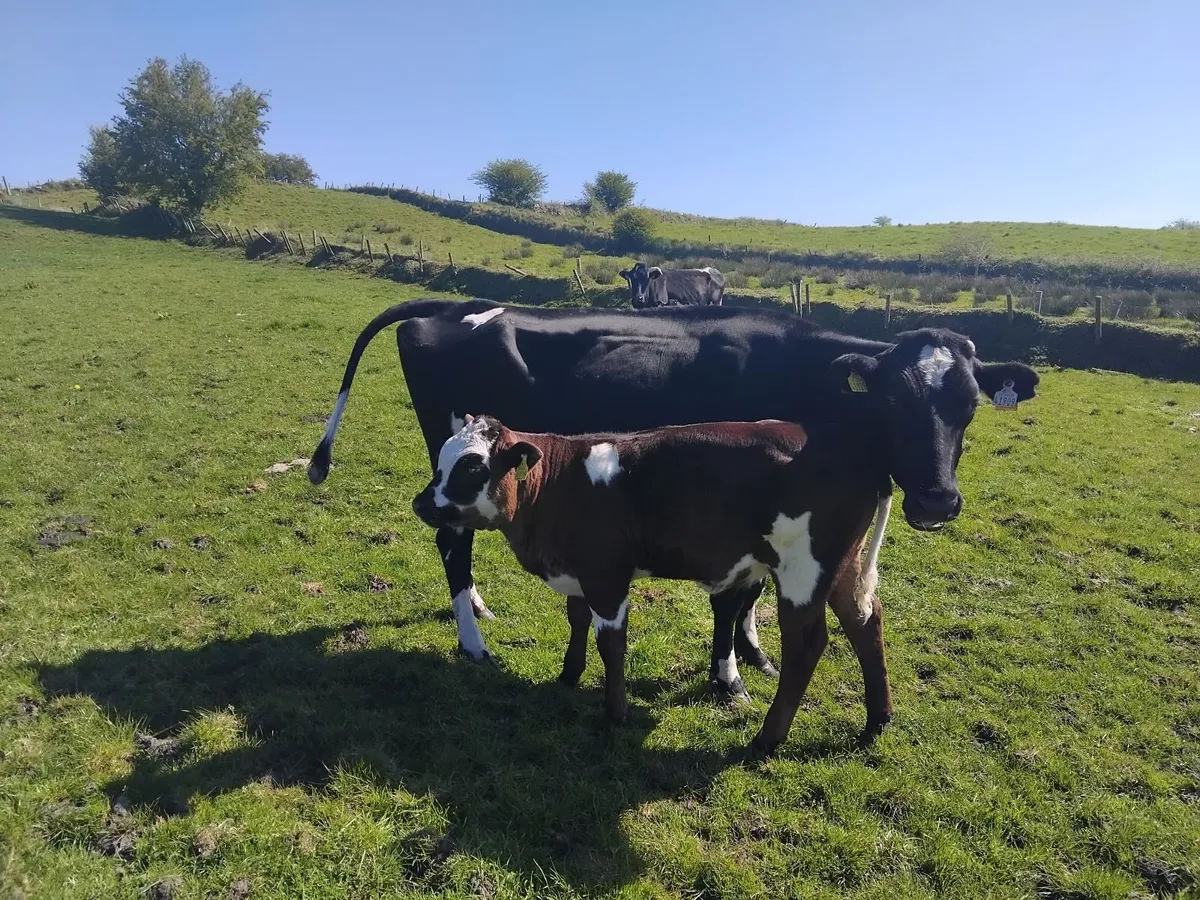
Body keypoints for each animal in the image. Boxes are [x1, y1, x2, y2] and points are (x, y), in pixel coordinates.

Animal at [308, 298, 1038, 710]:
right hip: (455, 459)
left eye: (968, 407)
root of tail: (449, 306)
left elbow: (750, 595)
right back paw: (473, 642)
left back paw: (479, 609)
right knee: (450, 540)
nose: (939, 500)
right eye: (891, 402)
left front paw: (751, 652)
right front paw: (730, 675)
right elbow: (732, 598)